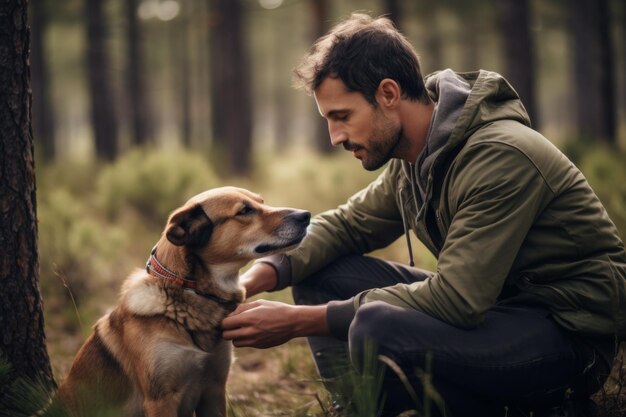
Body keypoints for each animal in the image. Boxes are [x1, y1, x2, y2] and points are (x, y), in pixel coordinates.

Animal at [53, 188, 310, 416]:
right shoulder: (160, 399)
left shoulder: (214, 390)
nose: (306, 215)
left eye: (262, 202)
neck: (187, 291)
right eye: (245, 210)